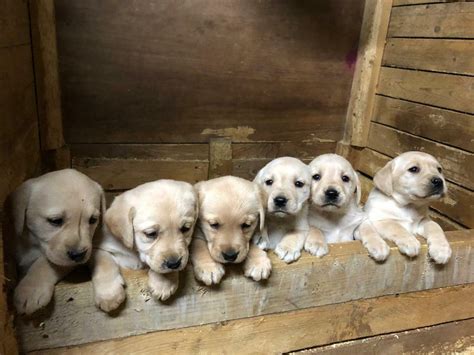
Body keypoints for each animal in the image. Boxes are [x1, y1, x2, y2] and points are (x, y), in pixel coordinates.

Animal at [7, 169, 126, 314]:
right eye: (55, 220)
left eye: (93, 220)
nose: (78, 255)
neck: (34, 244)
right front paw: (31, 289)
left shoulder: (90, 248)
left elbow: (45, 262)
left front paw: (109, 291)